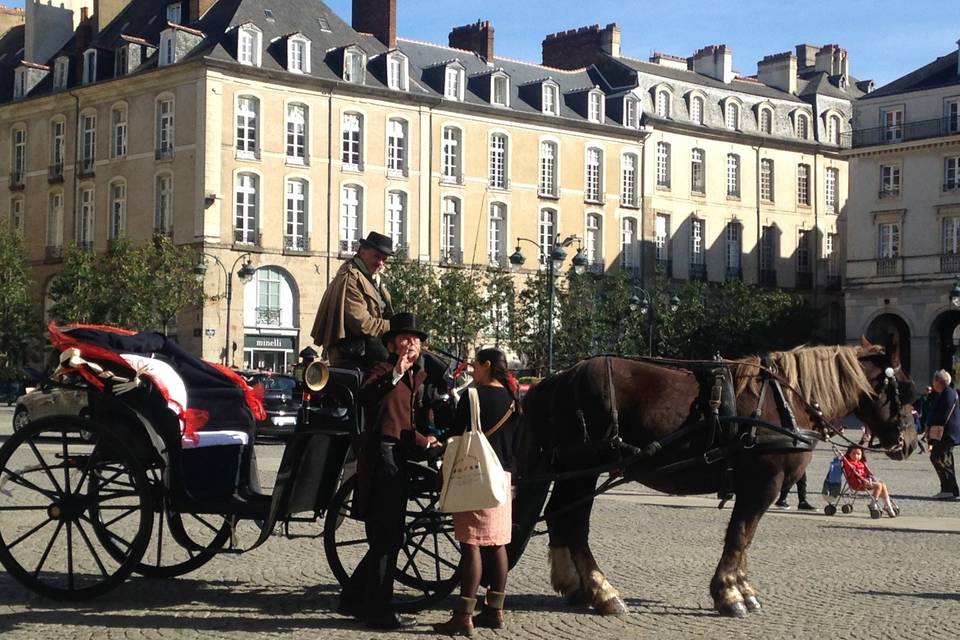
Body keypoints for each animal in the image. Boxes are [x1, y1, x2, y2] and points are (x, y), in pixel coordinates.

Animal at [512, 340, 920, 616]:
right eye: (906, 390)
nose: (911, 442)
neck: (787, 401)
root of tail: (559, 377)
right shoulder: (763, 486)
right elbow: (740, 536)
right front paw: (730, 593)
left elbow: (743, 538)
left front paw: (740, 587)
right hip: (584, 466)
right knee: (573, 523)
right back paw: (602, 591)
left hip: (574, 471)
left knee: (562, 518)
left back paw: (575, 585)